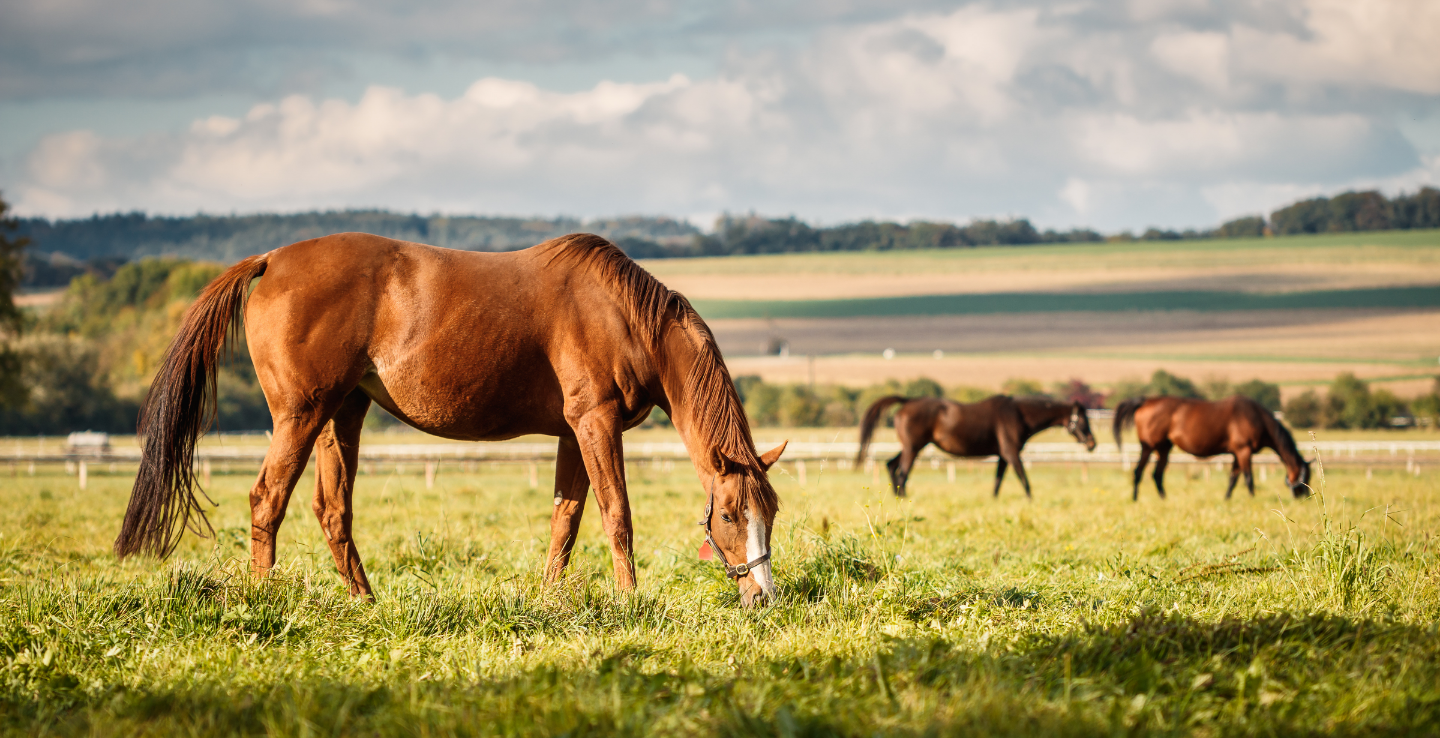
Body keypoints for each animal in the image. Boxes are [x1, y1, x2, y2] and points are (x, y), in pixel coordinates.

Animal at [112, 233, 789, 608]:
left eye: (772, 513)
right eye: (730, 515)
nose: (762, 598)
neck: (623, 316)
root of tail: (272, 260)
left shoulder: (573, 434)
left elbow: (565, 521)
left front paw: (551, 602)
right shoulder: (595, 424)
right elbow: (615, 514)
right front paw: (630, 602)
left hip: (341, 415)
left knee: (332, 511)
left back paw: (366, 602)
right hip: (300, 416)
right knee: (267, 499)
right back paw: (261, 601)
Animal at [852, 394, 1088, 498]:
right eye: (1084, 420)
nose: (1092, 443)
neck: (1019, 415)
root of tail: (908, 401)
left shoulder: (1003, 456)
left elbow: (998, 481)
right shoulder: (1011, 452)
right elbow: (1023, 478)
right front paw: (1031, 500)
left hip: (913, 446)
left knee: (891, 465)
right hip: (913, 448)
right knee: (902, 473)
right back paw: (903, 498)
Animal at [1111, 392, 1319, 501]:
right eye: (1306, 477)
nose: (1304, 497)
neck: (1256, 418)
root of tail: (1145, 400)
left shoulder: (1237, 454)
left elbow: (1233, 478)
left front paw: (1227, 499)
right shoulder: (1244, 451)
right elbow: (1248, 478)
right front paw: (1253, 498)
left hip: (1164, 448)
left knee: (1157, 474)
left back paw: (1164, 498)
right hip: (1148, 447)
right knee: (1139, 472)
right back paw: (1135, 499)